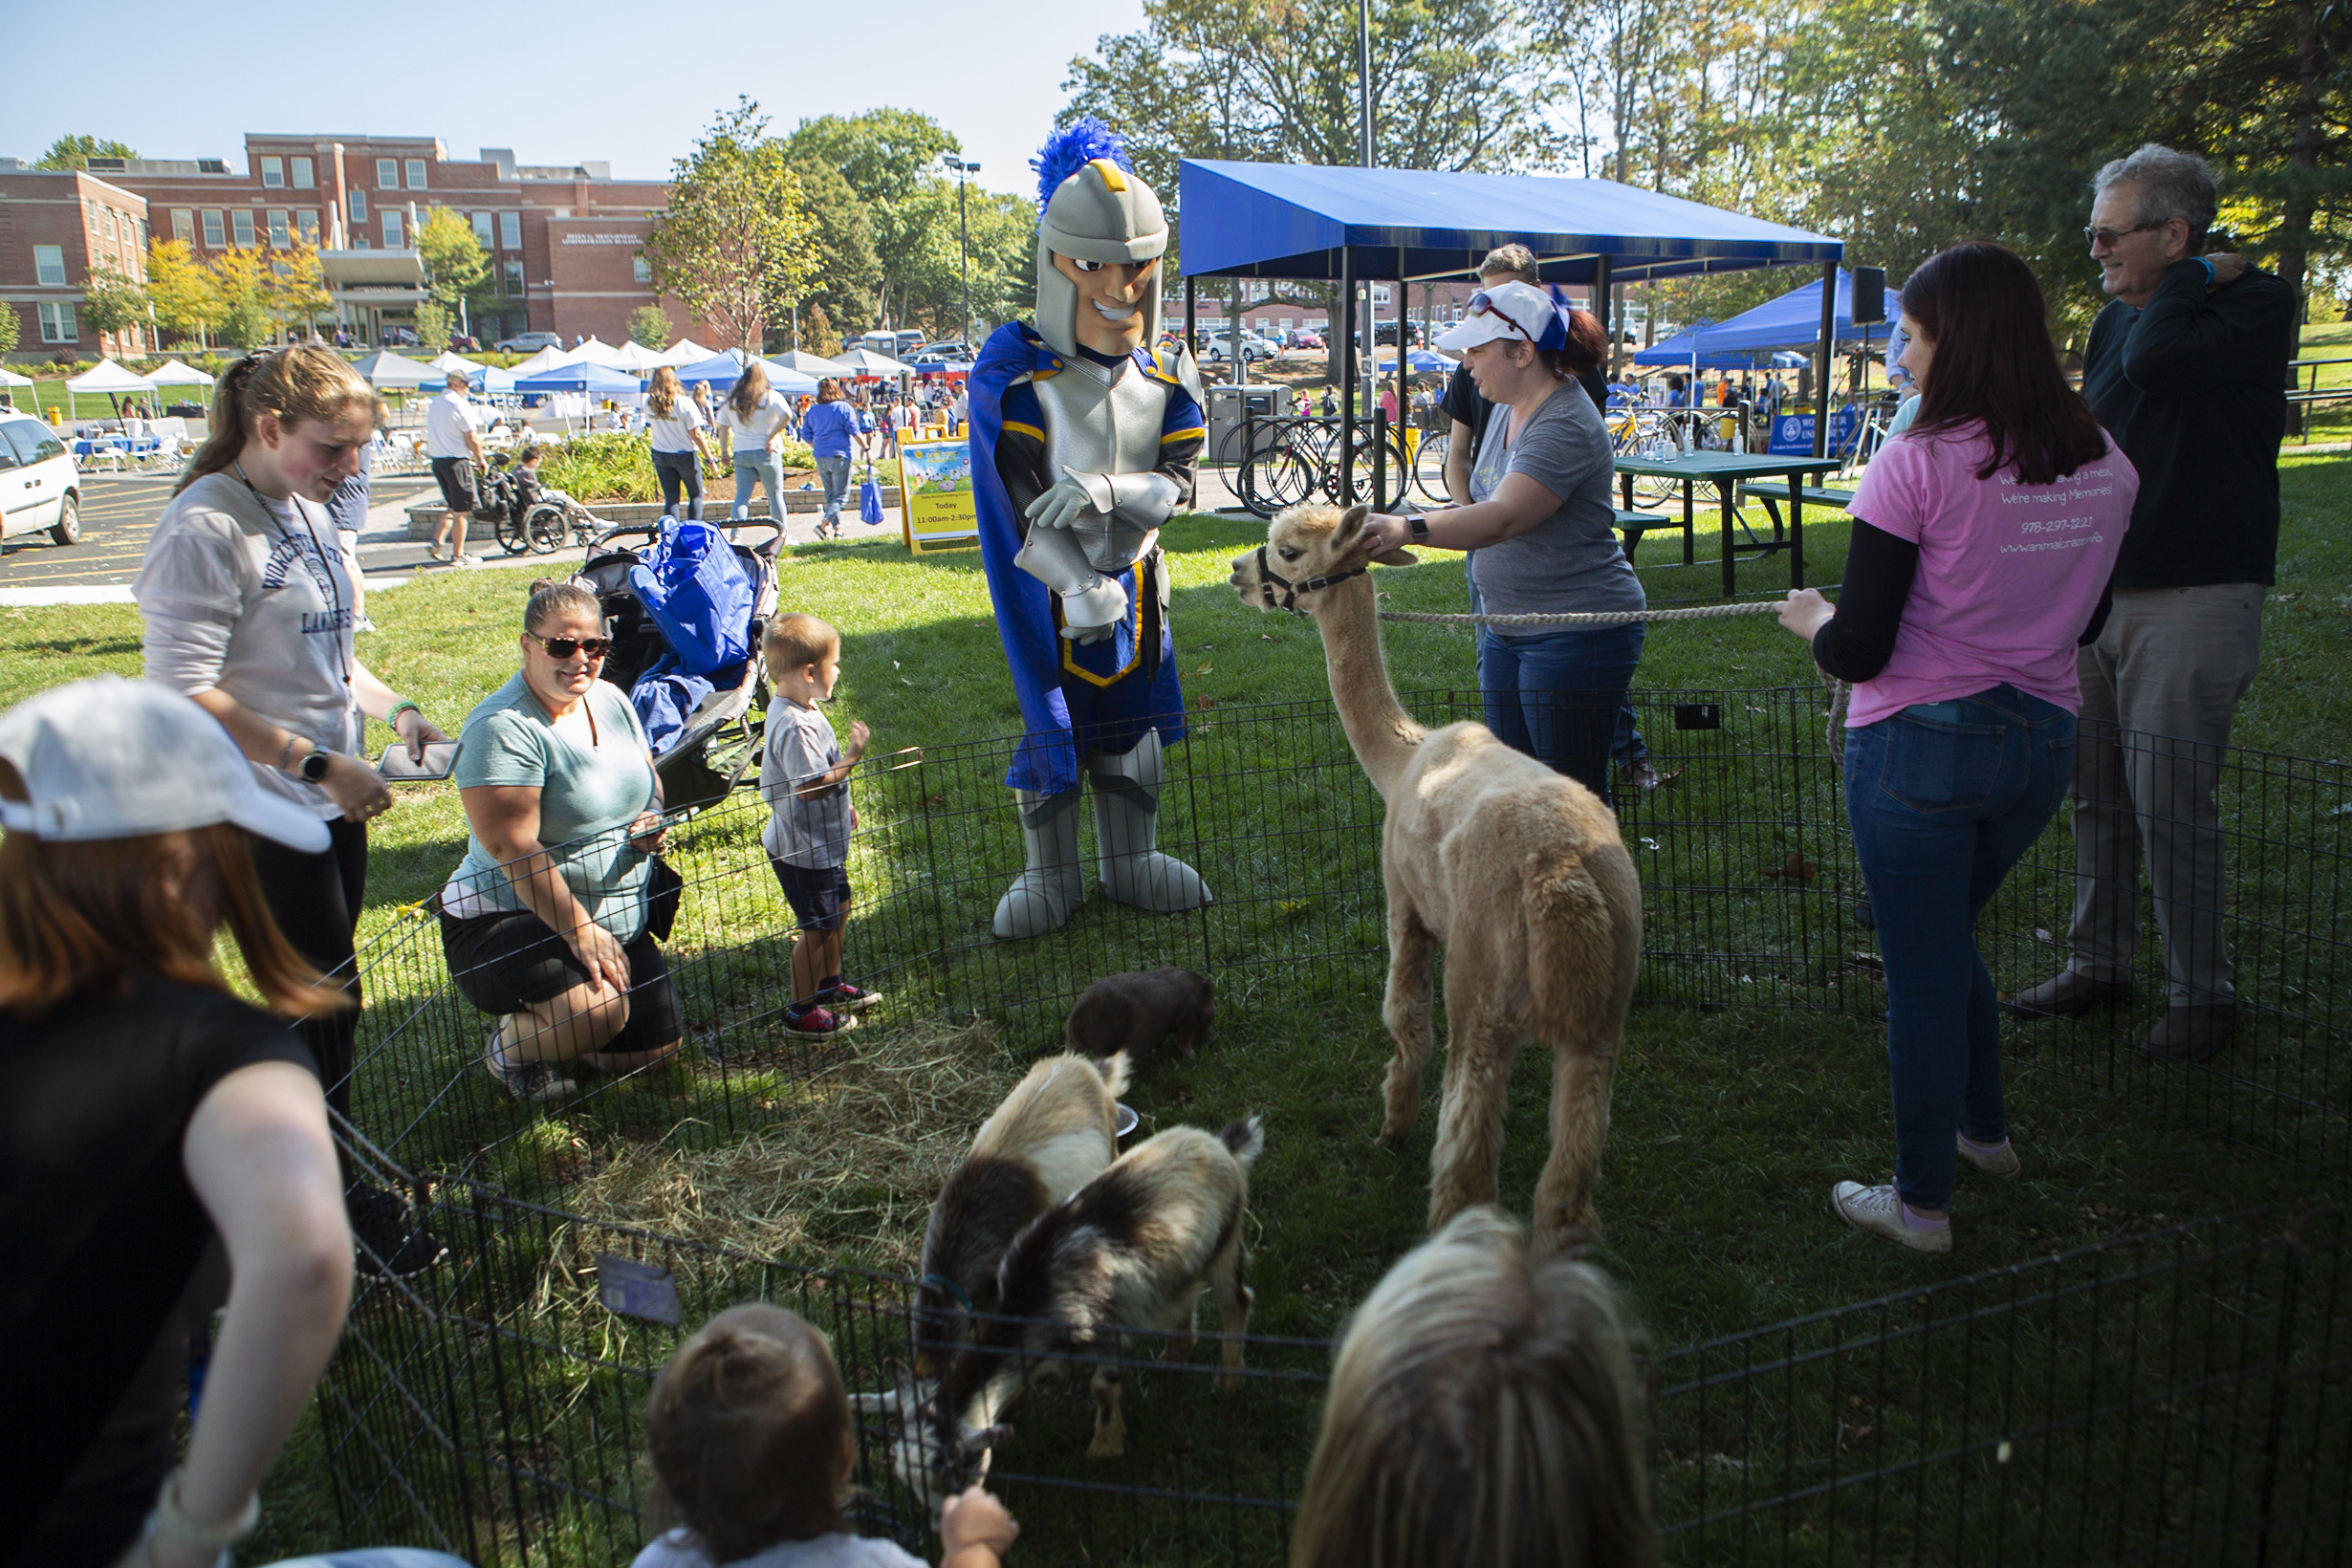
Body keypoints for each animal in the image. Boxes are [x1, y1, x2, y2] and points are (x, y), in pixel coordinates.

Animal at [860, 1114, 1270, 1504]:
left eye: (954, 1473)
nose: (942, 1521)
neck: (1031, 1298)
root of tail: (1218, 1144)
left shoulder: (1108, 1331)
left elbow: (1102, 1388)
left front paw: (1104, 1449)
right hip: (1177, 1270)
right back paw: (1174, 1356)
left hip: (1226, 1241)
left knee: (1238, 1302)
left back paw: (1227, 1382)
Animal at [1062, 969, 1213, 1067]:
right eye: (1213, 1003)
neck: (1198, 993)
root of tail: (1073, 1022)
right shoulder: (1185, 1019)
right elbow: (1184, 1041)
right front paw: (1194, 1058)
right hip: (1106, 1040)